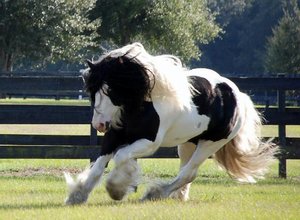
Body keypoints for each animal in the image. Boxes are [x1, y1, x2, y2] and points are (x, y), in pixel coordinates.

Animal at [64, 41, 278, 205]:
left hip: (211, 144)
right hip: (188, 143)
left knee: (189, 173)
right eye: (92, 91)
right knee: (185, 170)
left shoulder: (149, 142)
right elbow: (99, 166)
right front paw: (78, 195)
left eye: (111, 90)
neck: (142, 103)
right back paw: (178, 196)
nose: (99, 124)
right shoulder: (114, 135)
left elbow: (121, 157)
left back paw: (155, 194)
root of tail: (238, 96)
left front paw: (117, 188)